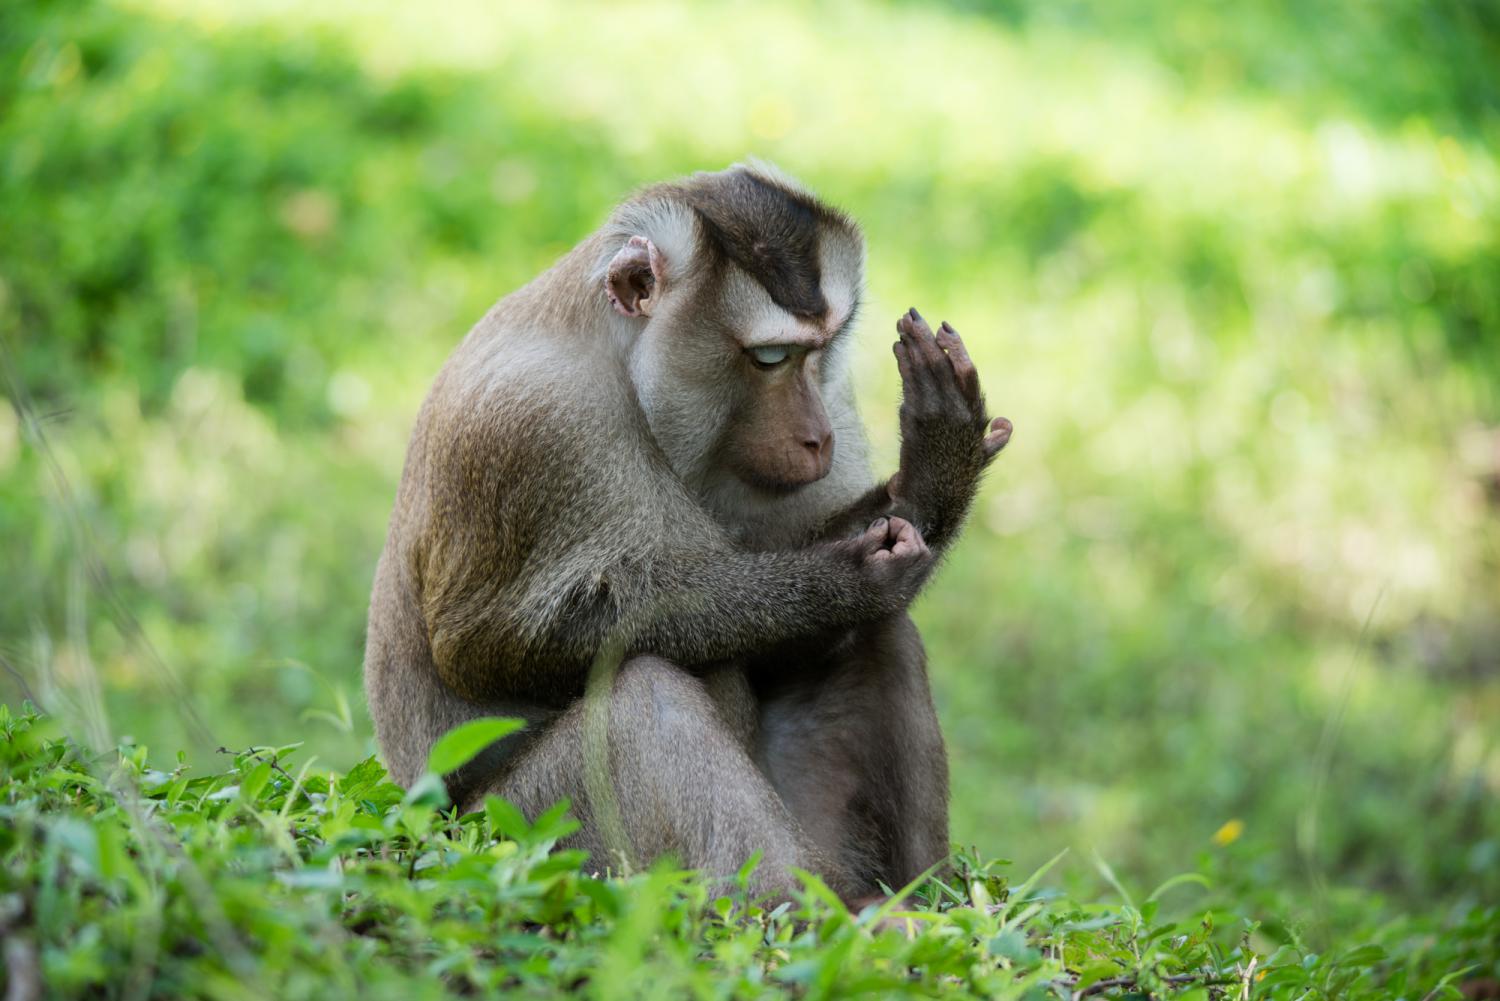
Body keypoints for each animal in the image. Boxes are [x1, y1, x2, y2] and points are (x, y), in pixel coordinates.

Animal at [364, 162, 1014, 900]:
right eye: (770, 357)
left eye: (822, 350)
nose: (818, 437)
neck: (618, 359)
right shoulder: (530, 426)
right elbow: (484, 644)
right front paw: (836, 581)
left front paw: (932, 474)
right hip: (521, 830)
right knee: (645, 700)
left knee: (883, 636)